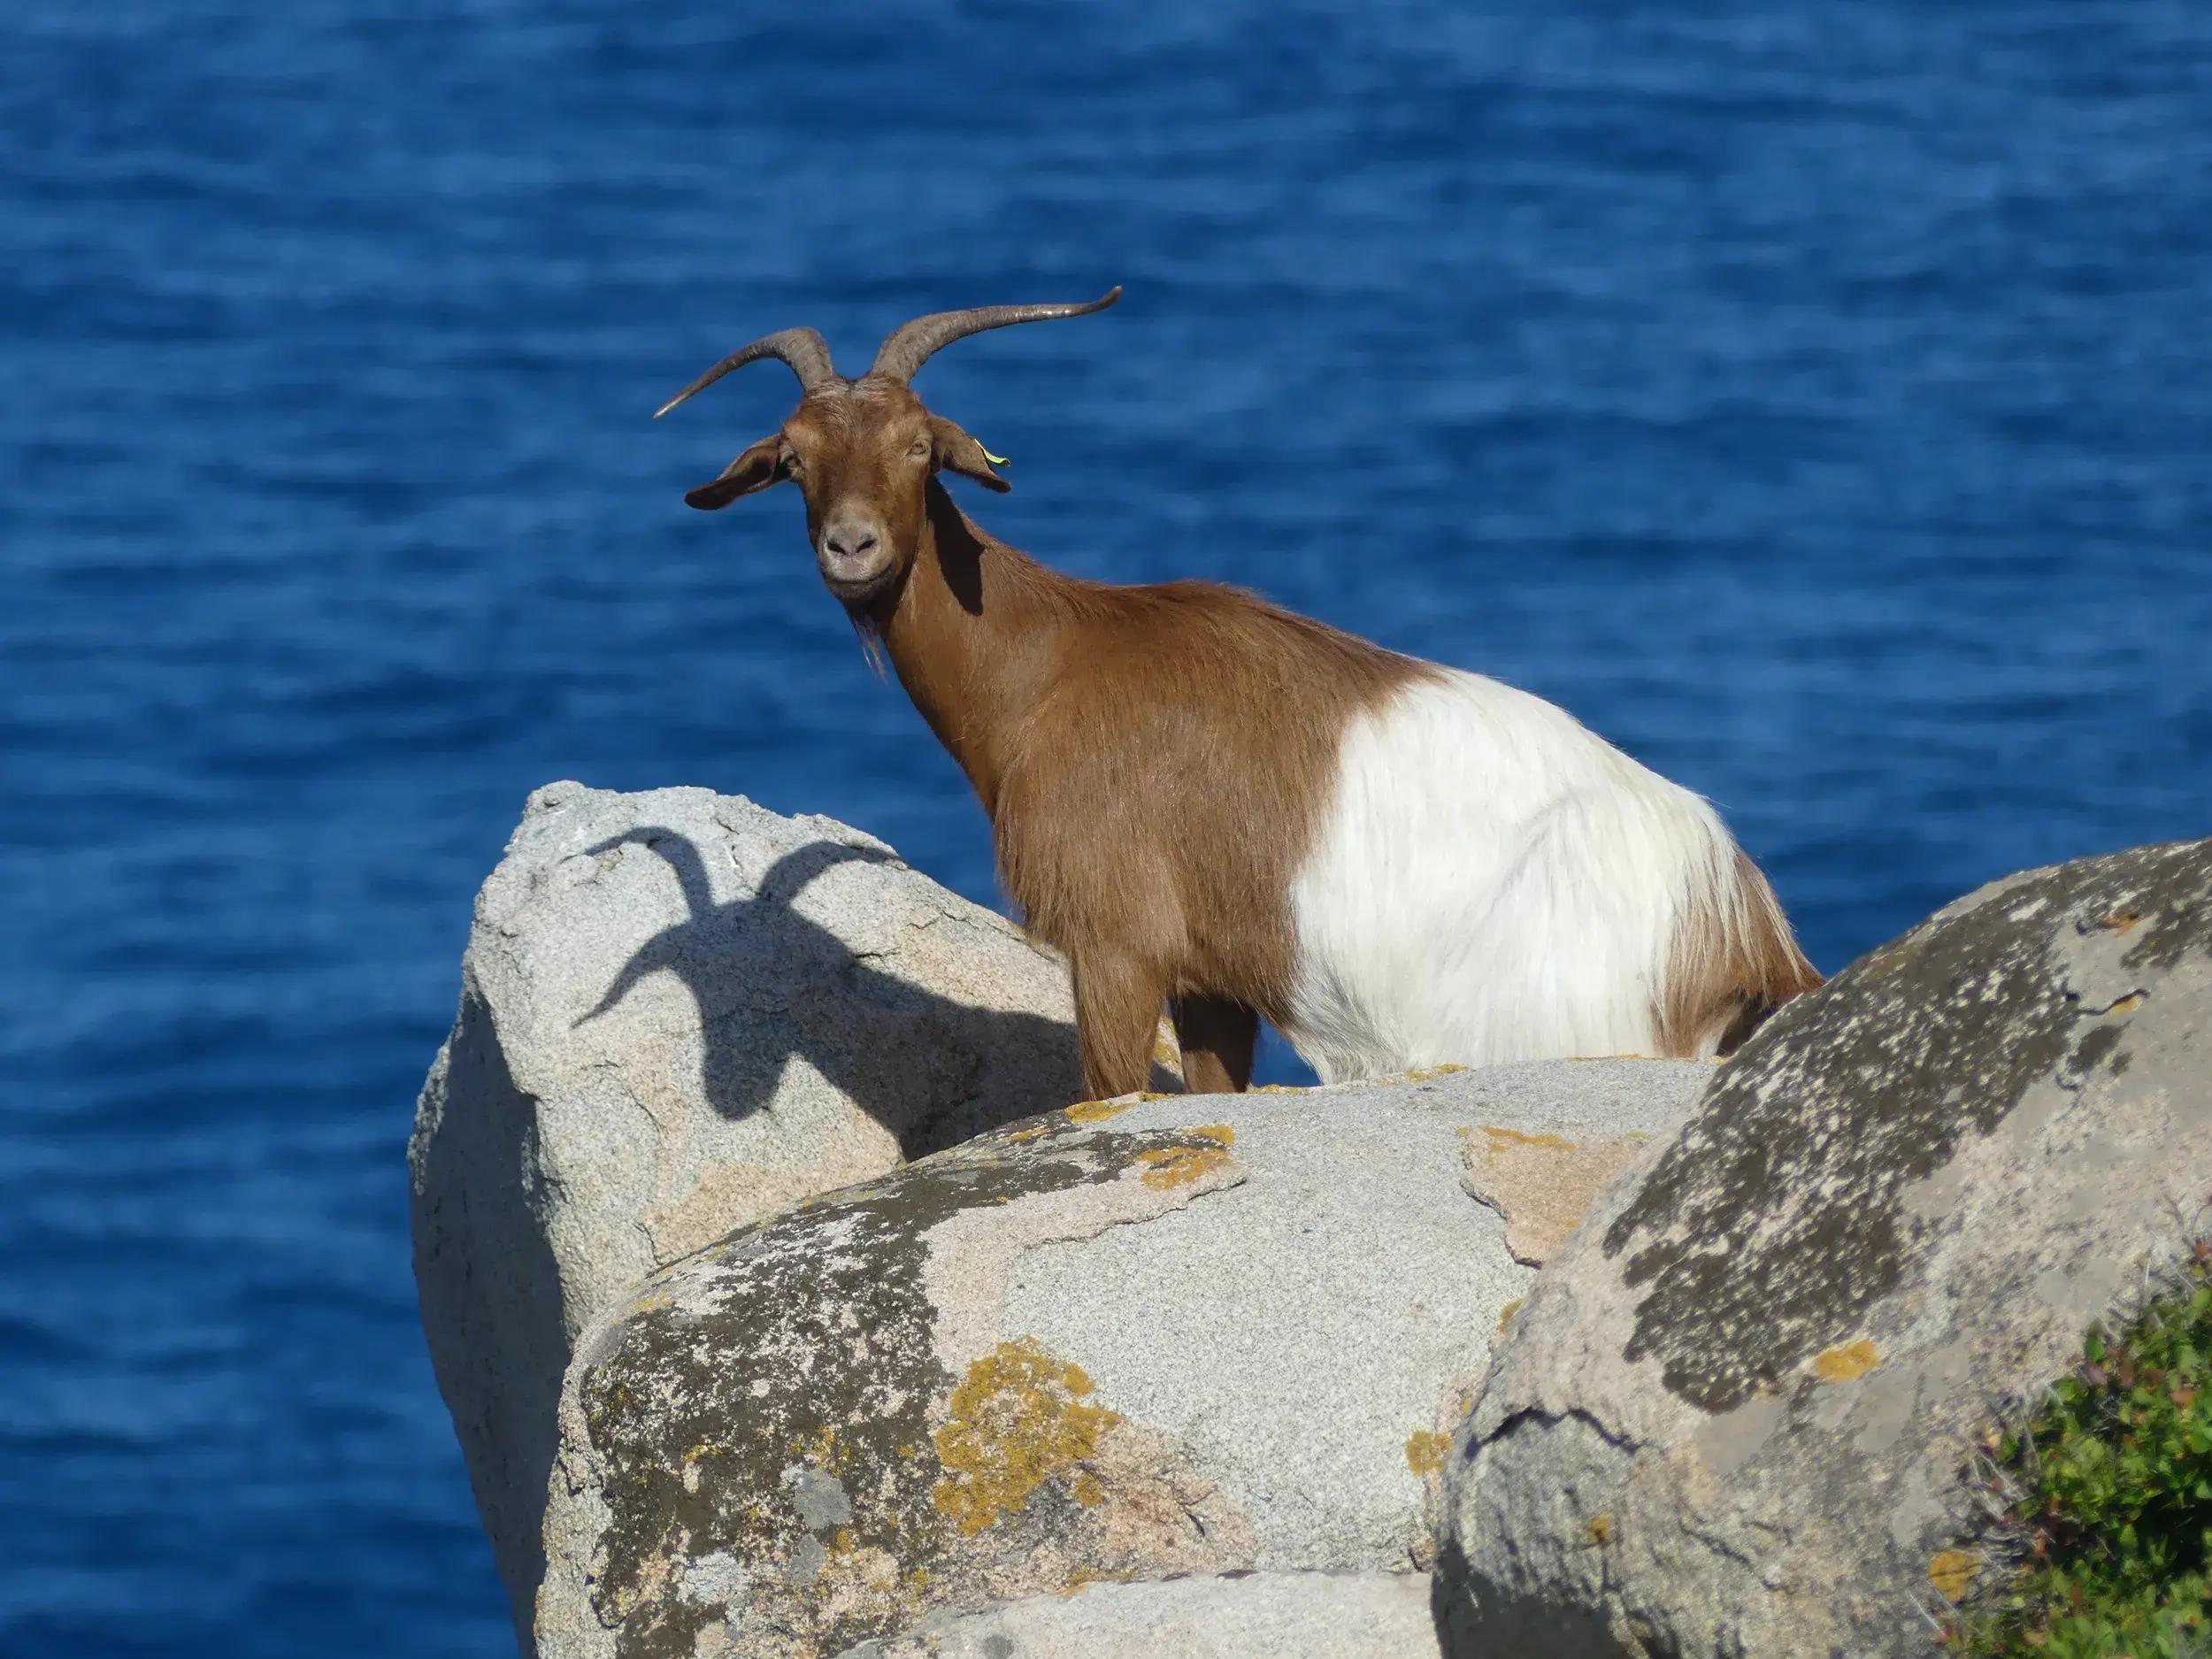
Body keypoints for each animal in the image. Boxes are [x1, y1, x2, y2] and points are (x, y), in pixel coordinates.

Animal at [658, 289, 1822, 1099]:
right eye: (794, 459)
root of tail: (1744, 928)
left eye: (916, 446)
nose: (851, 549)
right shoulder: (1213, 982)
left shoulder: (1116, 945)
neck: (1054, 664)